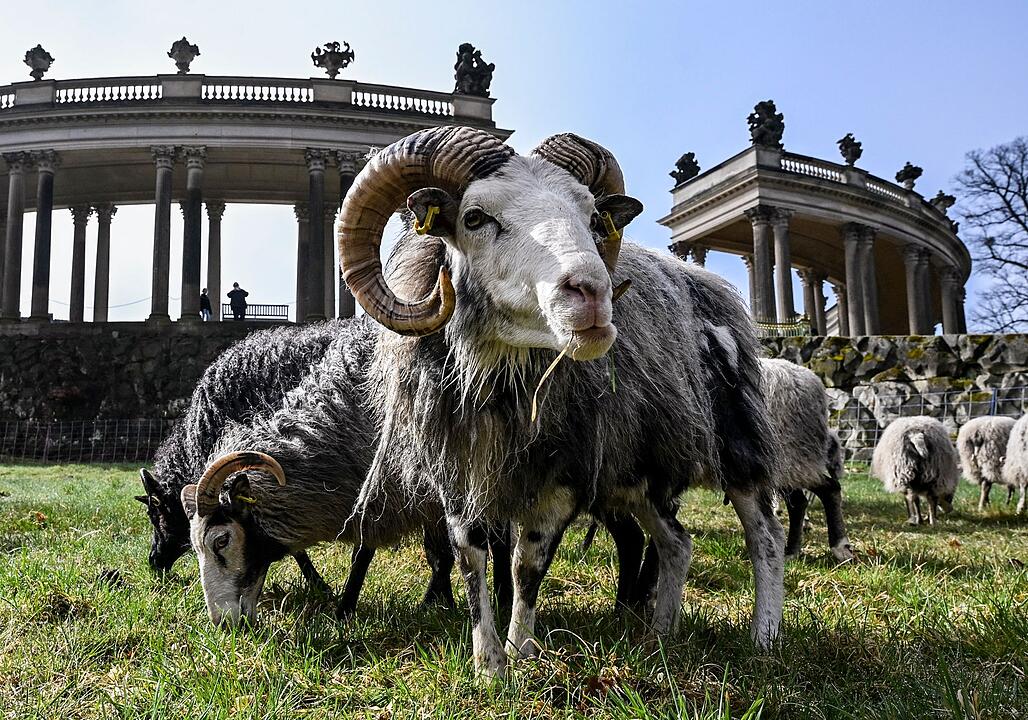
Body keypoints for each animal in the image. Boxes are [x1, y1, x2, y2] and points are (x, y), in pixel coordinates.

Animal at [330, 126, 783, 680]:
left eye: (592, 218)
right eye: (474, 218)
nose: (592, 293)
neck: (503, 385)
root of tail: (707, 285)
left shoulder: (566, 469)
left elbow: (527, 565)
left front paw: (522, 652)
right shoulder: (457, 471)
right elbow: (471, 561)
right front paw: (488, 665)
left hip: (736, 437)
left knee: (764, 534)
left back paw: (765, 637)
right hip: (640, 464)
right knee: (676, 541)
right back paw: (661, 634)